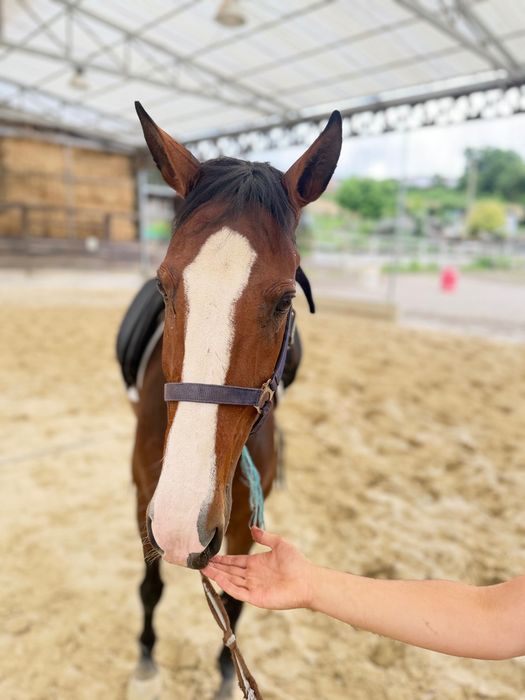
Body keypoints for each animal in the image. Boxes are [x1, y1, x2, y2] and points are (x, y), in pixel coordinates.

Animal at [126, 102, 342, 698]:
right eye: (164, 286)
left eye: (286, 299)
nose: (182, 523)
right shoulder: (145, 497)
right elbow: (150, 587)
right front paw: (147, 654)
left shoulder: (244, 519)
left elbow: (237, 604)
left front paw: (226, 674)